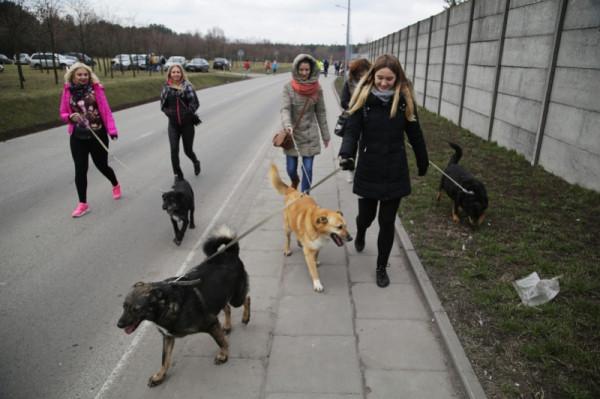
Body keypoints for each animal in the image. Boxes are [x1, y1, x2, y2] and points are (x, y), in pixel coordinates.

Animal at [117, 228, 251, 388]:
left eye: (136, 309)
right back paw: (228, 325)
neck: (165, 305)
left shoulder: (211, 323)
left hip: (236, 297)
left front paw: (223, 355)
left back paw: (246, 317)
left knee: (246, 299)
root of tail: (230, 253)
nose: (119, 324)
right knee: (227, 307)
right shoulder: (168, 337)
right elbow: (165, 360)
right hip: (219, 295)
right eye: (124, 306)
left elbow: (221, 341)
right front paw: (159, 376)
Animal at [270, 164, 354, 292]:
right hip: (287, 227)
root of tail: (292, 190)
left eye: (346, 226)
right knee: (288, 239)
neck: (318, 230)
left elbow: (316, 255)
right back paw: (287, 249)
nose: (351, 238)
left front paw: (315, 261)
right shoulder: (308, 252)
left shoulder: (318, 246)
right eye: (339, 227)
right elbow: (313, 270)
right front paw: (317, 283)